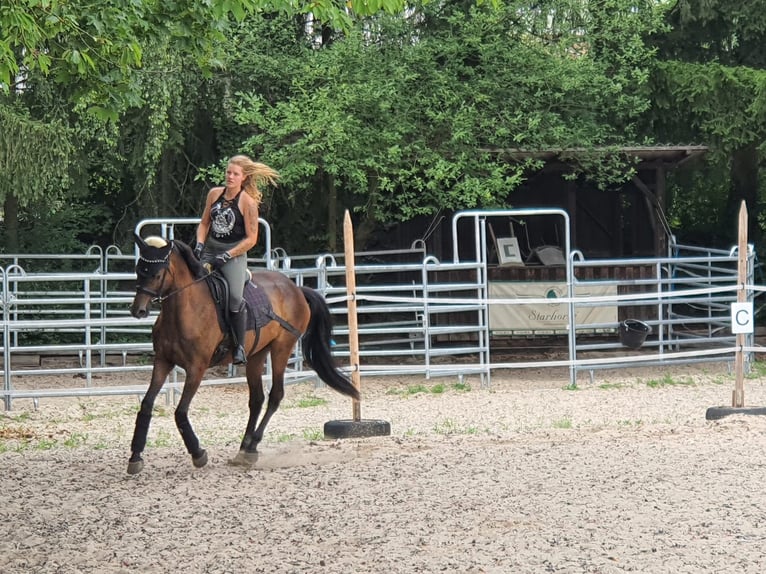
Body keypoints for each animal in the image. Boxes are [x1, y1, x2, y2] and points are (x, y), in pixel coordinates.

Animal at [129, 235, 360, 476]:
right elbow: (146, 405)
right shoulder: (163, 362)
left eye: (156, 274)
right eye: (138, 270)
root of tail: (296, 288)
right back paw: (244, 449)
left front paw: (198, 454)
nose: (138, 311)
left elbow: (181, 412)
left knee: (275, 395)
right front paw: (135, 456)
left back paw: (252, 446)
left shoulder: (196, 368)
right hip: (257, 355)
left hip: (281, 348)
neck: (185, 310)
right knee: (257, 399)